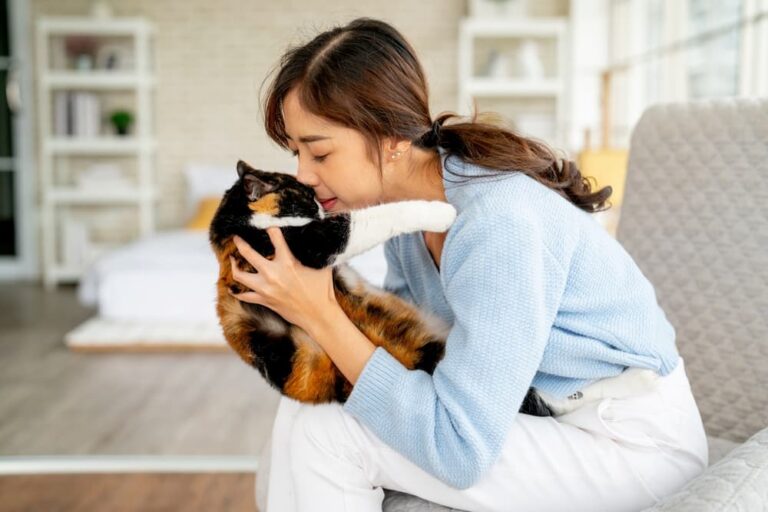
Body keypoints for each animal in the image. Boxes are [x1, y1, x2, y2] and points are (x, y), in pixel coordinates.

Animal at [208, 159, 552, 416]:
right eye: (303, 196)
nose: (320, 204)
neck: (236, 228)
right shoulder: (309, 243)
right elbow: (374, 216)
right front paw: (441, 212)